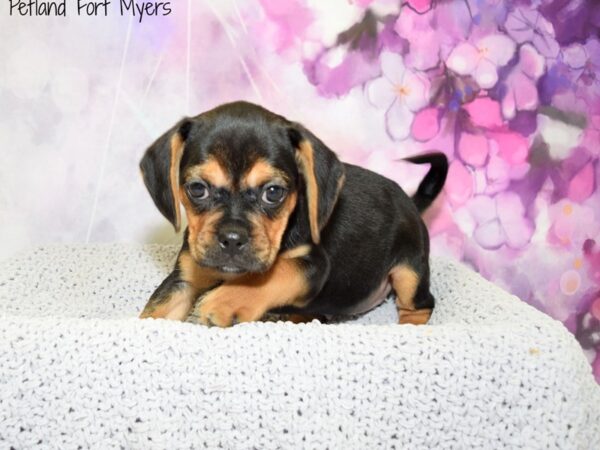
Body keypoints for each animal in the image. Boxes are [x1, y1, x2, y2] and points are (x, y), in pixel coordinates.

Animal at [138, 101, 448, 326]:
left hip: (410, 272)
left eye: (274, 192)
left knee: (420, 306)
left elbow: (277, 272)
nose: (232, 240)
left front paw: (225, 301)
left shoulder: (313, 264)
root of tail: (412, 203)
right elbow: (154, 314)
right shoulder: (183, 280)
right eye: (197, 189)